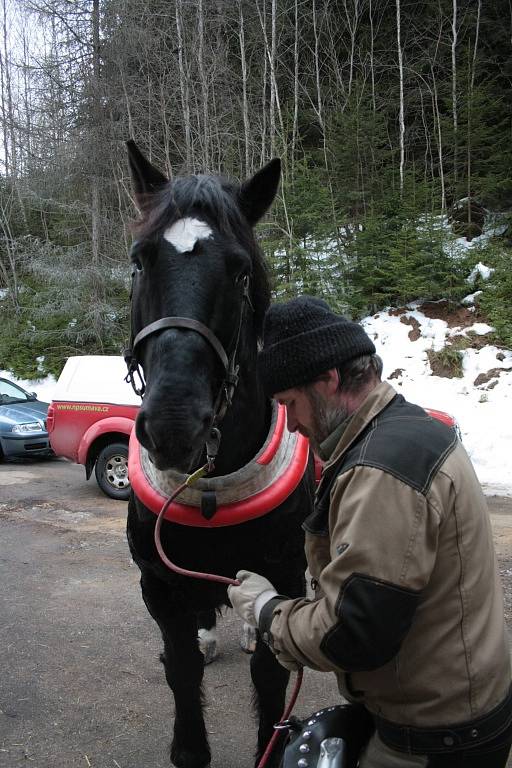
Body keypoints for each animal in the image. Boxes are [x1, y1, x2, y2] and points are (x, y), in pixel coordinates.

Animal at [125, 142, 314, 768]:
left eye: (240, 270)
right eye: (140, 261)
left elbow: (272, 679)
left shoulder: (286, 574)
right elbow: (182, 671)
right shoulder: (159, 586)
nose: (173, 424)